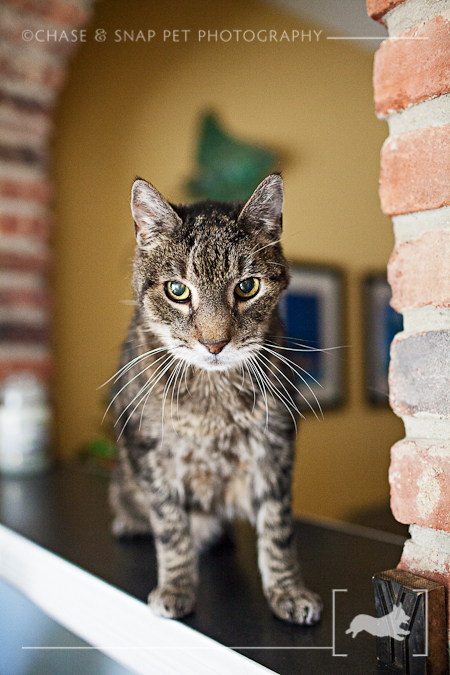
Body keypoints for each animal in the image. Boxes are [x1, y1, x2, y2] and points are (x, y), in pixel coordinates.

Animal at [111, 172, 326, 624]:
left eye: (247, 287)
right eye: (177, 290)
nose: (214, 344)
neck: (212, 400)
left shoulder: (275, 449)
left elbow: (278, 532)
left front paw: (288, 591)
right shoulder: (150, 453)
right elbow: (171, 528)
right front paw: (176, 587)